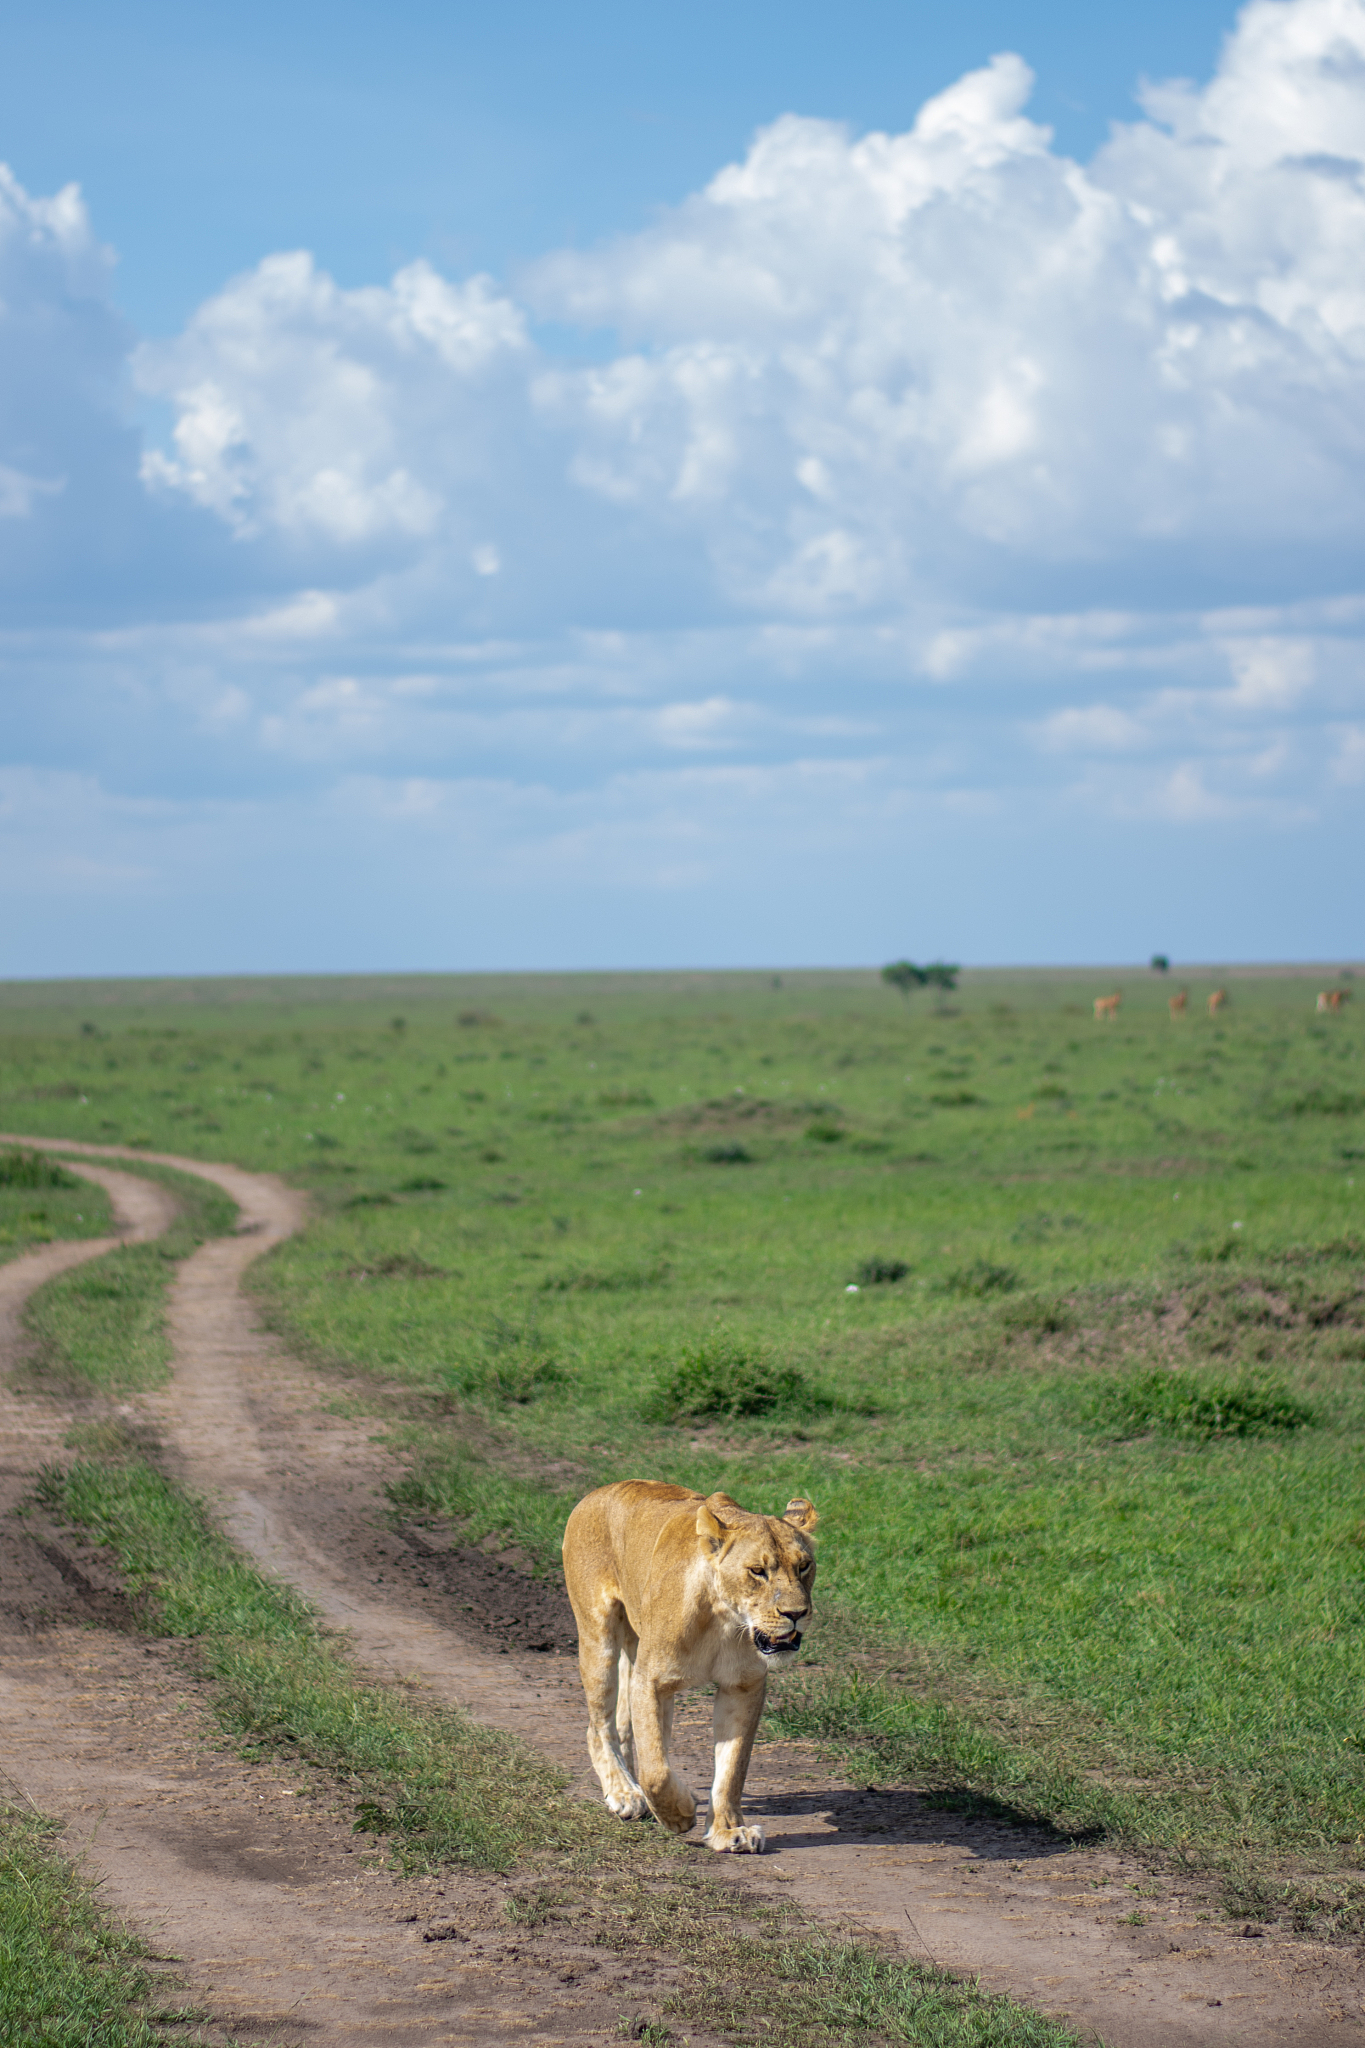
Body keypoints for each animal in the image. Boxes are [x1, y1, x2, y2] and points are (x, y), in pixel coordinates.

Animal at [562, 1481, 818, 1854]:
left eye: (804, 1566)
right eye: (758, 1571)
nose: (796, 1613)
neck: (725, 1621)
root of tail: (598, 1491)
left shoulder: (743, 1686)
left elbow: (732, 1767)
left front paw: (729, 1832)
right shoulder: (651, 1681)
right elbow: (656, 1771)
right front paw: (679, 1814)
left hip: (635, 1649)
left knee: (626, 1728)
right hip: (599, 1636)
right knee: (599, 1728)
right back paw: (624, 1793)